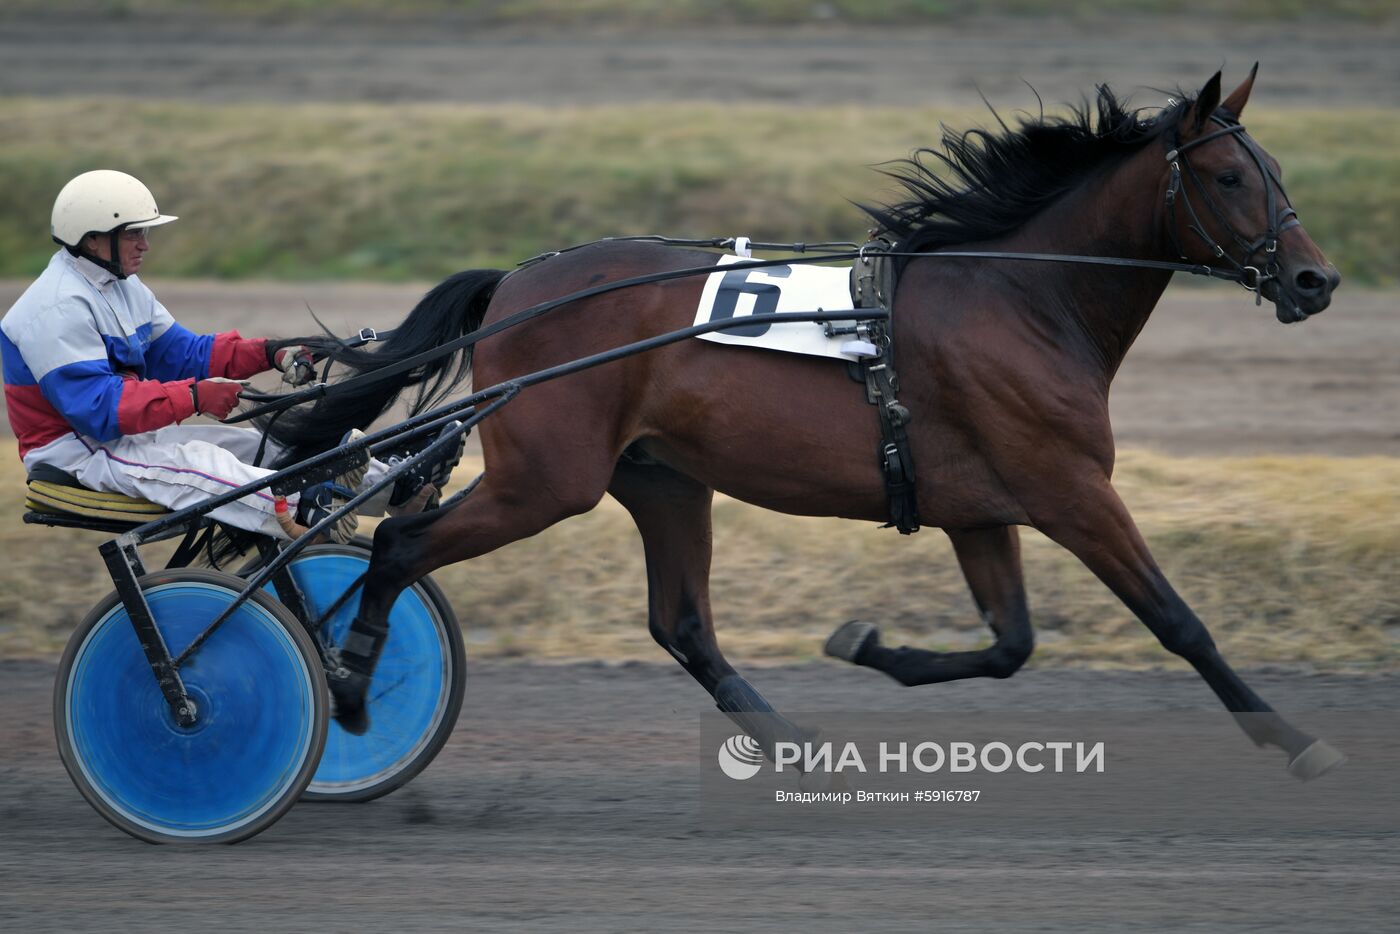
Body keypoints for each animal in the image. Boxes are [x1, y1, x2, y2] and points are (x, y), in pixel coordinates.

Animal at [264, 67, 1344, 784]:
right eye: (1229, 177)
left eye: (1275, 169)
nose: (1313, 280)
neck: (1019, 298)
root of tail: (517, 286)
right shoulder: (1069, 490)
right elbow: (1177, 620)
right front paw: (1292, 740)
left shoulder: (980, 508)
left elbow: (1010, 643)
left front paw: (869, 645)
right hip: (547, 477)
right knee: (400, 545)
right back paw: (351, 688)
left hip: (661, 476)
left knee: (679, 621)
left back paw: (788, 737)